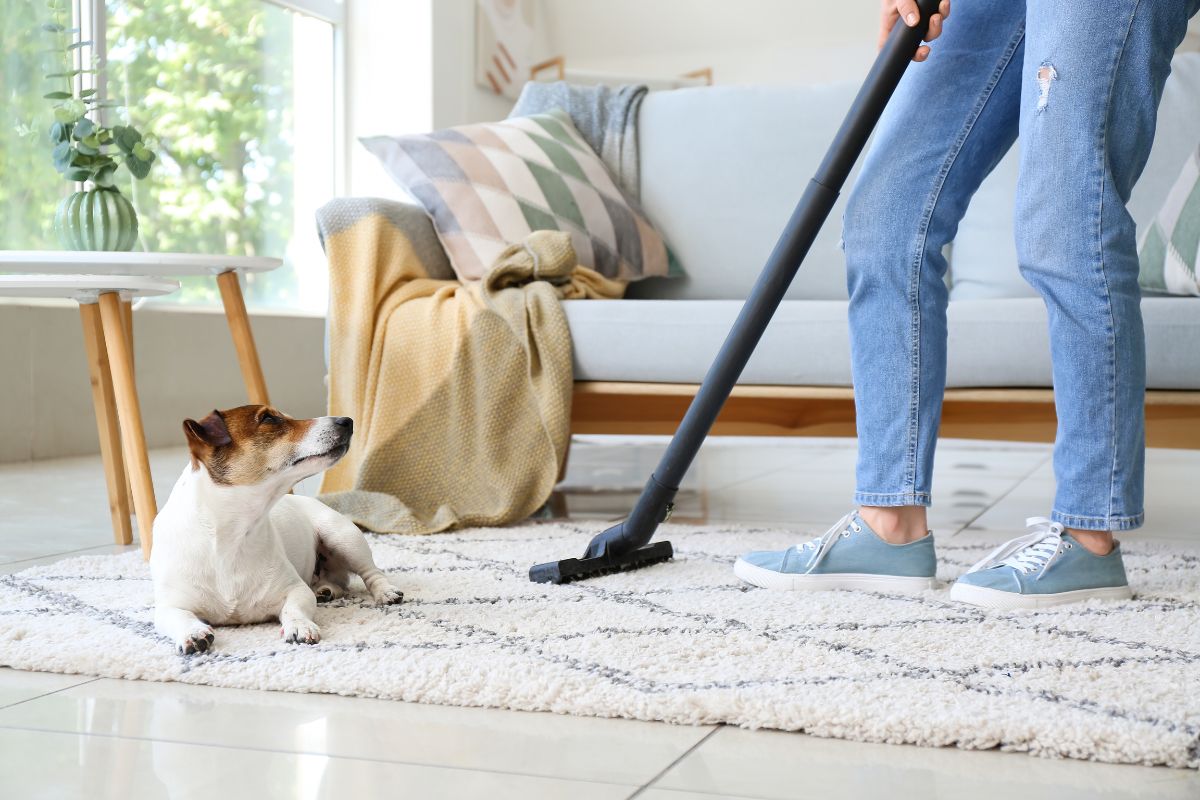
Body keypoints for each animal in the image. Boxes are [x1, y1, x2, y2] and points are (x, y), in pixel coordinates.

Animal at [148, 402, 403, 652]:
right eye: (269, 419)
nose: (347, 421)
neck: (231, 535)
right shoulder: (169, 606)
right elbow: (178, 617)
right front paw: (192, 632)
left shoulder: (296, 590)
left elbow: (294, 608)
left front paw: (299, 625)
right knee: (339, 582)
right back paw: (325, 590)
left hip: (344, 537)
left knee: (371, 573)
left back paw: (385, 592)